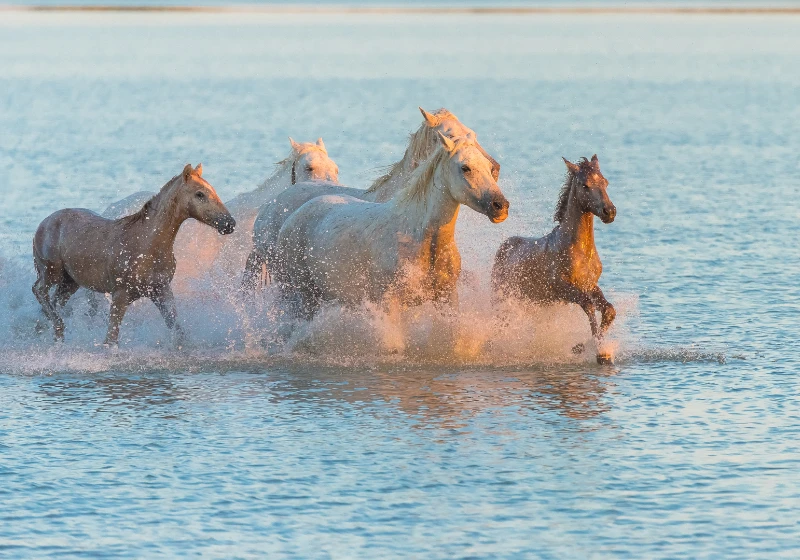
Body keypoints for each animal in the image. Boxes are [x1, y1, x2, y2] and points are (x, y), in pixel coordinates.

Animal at [34, 163, 234, 346]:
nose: (230, 223)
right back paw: (59, 329)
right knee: (39, 290)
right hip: (52, 271)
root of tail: (44, 223)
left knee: (53, 302)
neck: (147, 246)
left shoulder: (161, 290)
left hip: (70, 282)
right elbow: (110, 339)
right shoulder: (120, 295)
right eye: (200, 194)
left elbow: (178, 331)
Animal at [272, 131, 510, 322]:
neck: (418, 237)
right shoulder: (390, 303)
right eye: (465, 167)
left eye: (490, 168)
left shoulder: (447, 298)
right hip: (301, 295)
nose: (500, 206)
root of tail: (292, 217)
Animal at [490, 154, 616, 364]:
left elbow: (608, 310)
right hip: (503, 298)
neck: (581, 251)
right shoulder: (562, 288)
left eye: (605, 182)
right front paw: (598, 352)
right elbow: (588, 306)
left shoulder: (590, 285)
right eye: (585, 185)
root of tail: (504, 247)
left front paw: (583, 347)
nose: (610, 212)